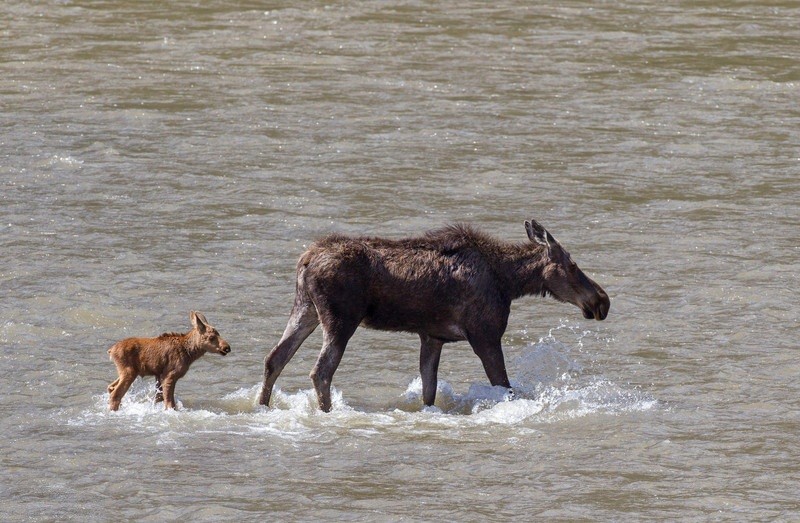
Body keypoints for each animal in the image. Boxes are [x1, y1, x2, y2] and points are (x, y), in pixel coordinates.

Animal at [260, 219, 608, 412]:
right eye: (572, 265)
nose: (601, 300)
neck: (509, 282)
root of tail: (305, 260)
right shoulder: (485, 334)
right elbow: (505, 386)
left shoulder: (432, 336)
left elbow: (429, 390)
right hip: (341, 318)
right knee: (321, 371)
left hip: (305, 309)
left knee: (275, 358)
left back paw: (262, 407)